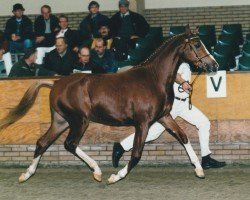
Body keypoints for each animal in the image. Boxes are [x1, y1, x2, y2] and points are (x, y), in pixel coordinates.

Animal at [0, 26, 218, 184]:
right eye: (197, 44)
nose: (214, 65)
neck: (153, 79)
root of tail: (55, 84)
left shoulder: (164, 117)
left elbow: (182, 136)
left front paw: (199, 169)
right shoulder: (143, 123)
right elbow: (136, 153)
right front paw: (115, 176)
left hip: (61, 121)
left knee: (42, 142)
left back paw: (27, 174)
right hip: (79, 120)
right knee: (70, 144)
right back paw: (97, 171)